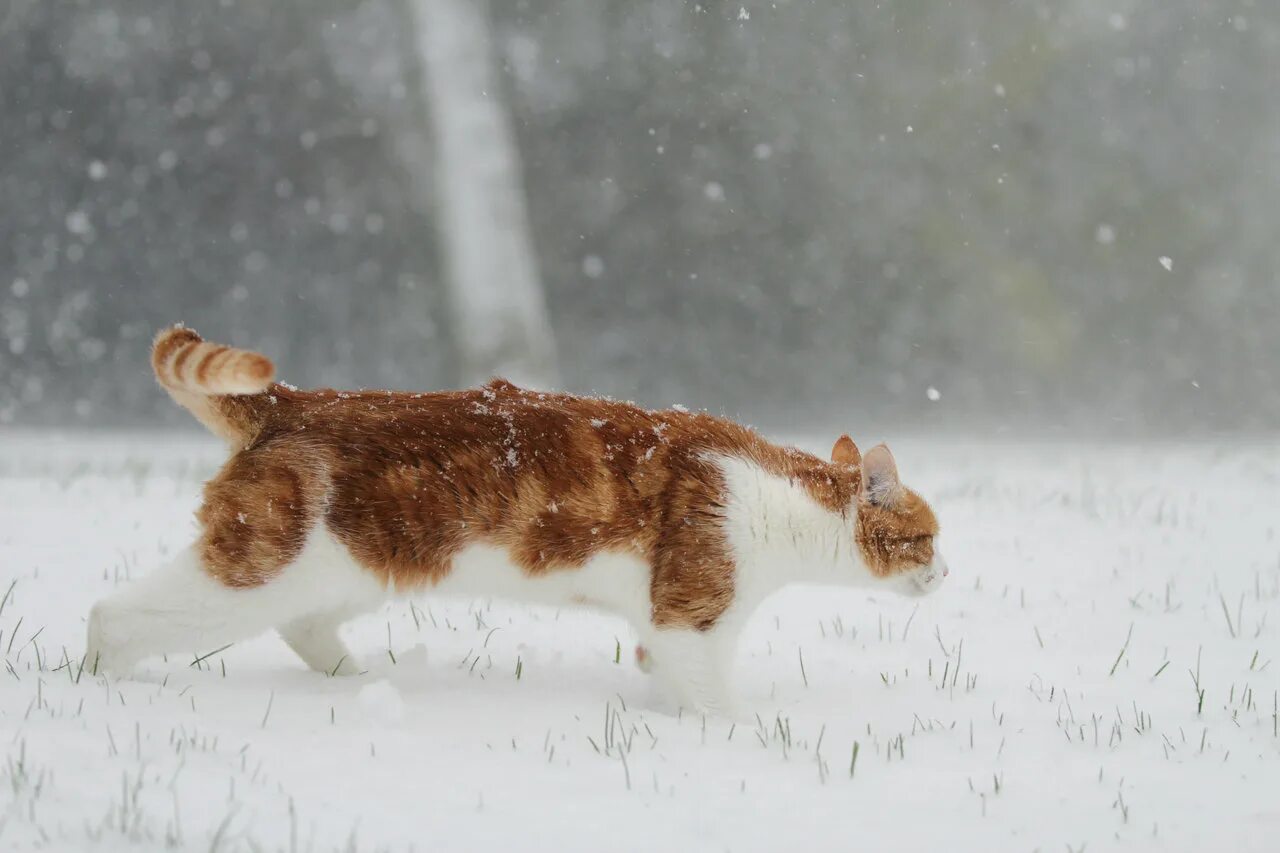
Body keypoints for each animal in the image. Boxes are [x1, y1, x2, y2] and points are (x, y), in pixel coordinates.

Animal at [85, 324, 947, 712]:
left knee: (303, 626)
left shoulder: (667, 623)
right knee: (115, 613)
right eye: (929, 539)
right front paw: (745, 734)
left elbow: (661, 667)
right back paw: (102, 683)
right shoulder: (693, 611)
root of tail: (293, 399)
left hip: (361, 564)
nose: (947, 571)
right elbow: (713, 697)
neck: (780, 501)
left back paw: (362, 681)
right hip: (266, 560)